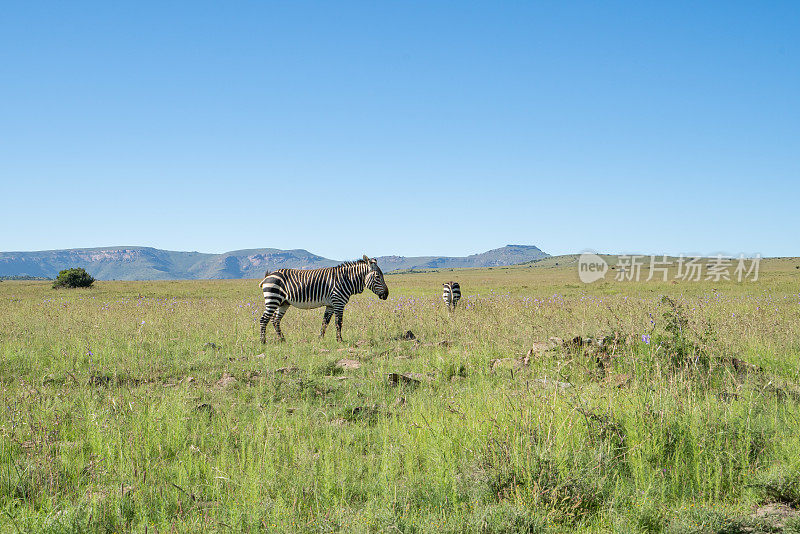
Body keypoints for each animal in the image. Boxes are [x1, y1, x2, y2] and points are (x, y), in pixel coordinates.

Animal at [260, 254, 388, 344]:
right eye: (377, 276)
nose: (386, 294)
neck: (346, 279)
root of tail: (268, 275)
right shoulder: (338, 302)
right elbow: (338, 322)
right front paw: (340, 340)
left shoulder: (330, 305)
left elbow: (325, 322)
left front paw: (320, 339)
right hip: (273, 299)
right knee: (264, 319)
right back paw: (263, 342)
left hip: (283, 303)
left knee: (275, 320)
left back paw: (282, 340)